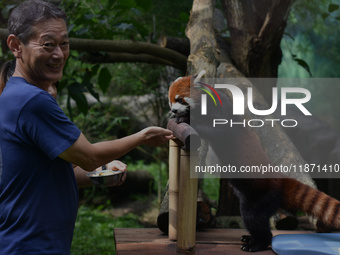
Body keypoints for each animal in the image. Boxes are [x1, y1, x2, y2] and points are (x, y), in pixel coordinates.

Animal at [169, 71, 340, 251]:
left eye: (180, 99)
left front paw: (185, 120)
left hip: (260, 197)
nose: (173, 109)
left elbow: (217, 131)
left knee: (254, 219)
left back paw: (258, 244)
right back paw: (249, 238)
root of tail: (278, 179)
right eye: (170, 99)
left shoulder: (222, 116)